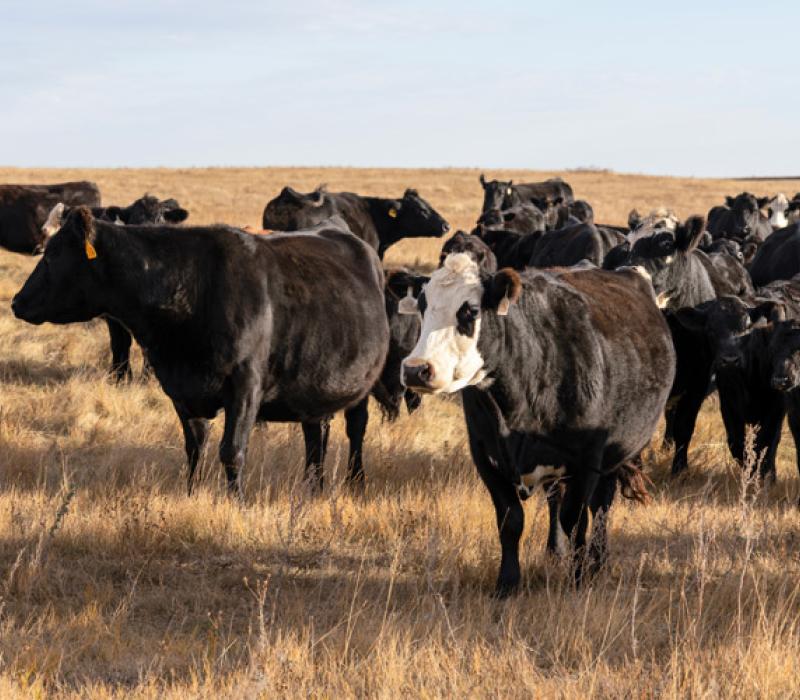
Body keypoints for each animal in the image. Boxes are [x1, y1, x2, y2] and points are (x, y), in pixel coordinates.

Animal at [41, 195, 191, 382]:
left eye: (160, 221)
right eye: (133, 223)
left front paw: (148, 377)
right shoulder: (113, 315)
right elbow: (120, 343)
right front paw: (120, 377)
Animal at [399, 253, 675, 593]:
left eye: (470, 311)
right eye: (422, 307)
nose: (416, 369)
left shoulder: (588, 458)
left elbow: (576, 520)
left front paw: (579, 579)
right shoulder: (485, 456)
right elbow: (510, 519)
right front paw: (507, 583)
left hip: (618, 455)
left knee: (600, 506)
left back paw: (598, 561)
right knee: (558, 498)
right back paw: (556, 553)